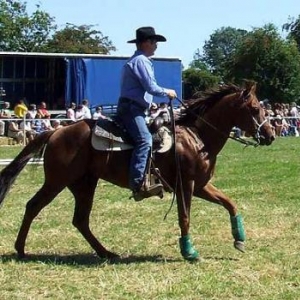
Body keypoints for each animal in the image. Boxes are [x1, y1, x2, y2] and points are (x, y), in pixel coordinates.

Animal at [0, 82, 274, 260]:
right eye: (254, 109)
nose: (270, 135)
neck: (197, 137)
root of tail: (57, 131)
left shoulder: (201, 185)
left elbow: (230, 203)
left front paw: (239, 239)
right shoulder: (186, 185)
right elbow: (185, 217)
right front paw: (189, 252)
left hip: (84, 184)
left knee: (80, 220)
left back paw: (106, 252)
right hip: (57, 181)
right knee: (33, 206)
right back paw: (21, 249)